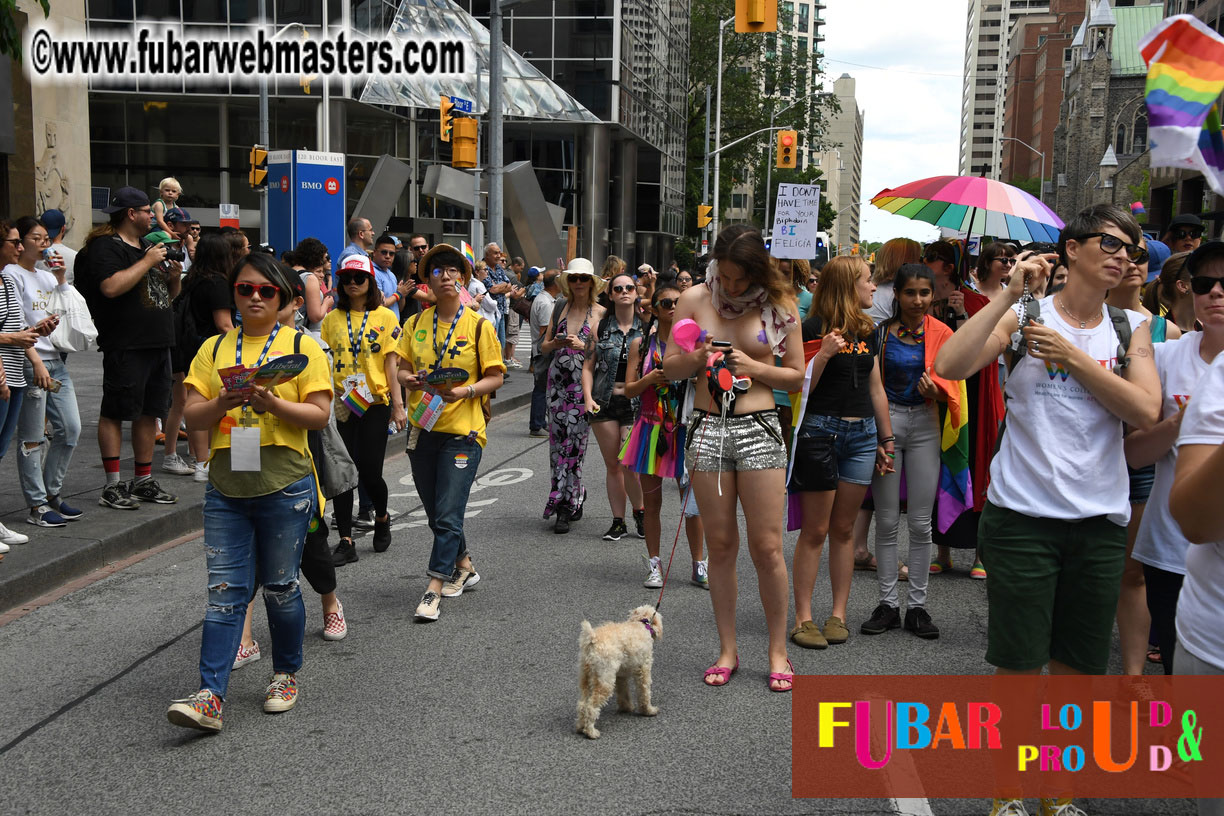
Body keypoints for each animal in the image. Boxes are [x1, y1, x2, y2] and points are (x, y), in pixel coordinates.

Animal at [572, 604, 660, 738]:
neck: (642, 623)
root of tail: (592, 639)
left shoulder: (620, 676)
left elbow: (623, 692)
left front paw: (626, 707)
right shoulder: (643, 670)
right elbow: (645, 692)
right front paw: (648, 710)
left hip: (585, 677)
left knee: (582, 704)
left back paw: (580, 727)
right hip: (605, 681)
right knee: (591, 707)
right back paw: (591, 732)